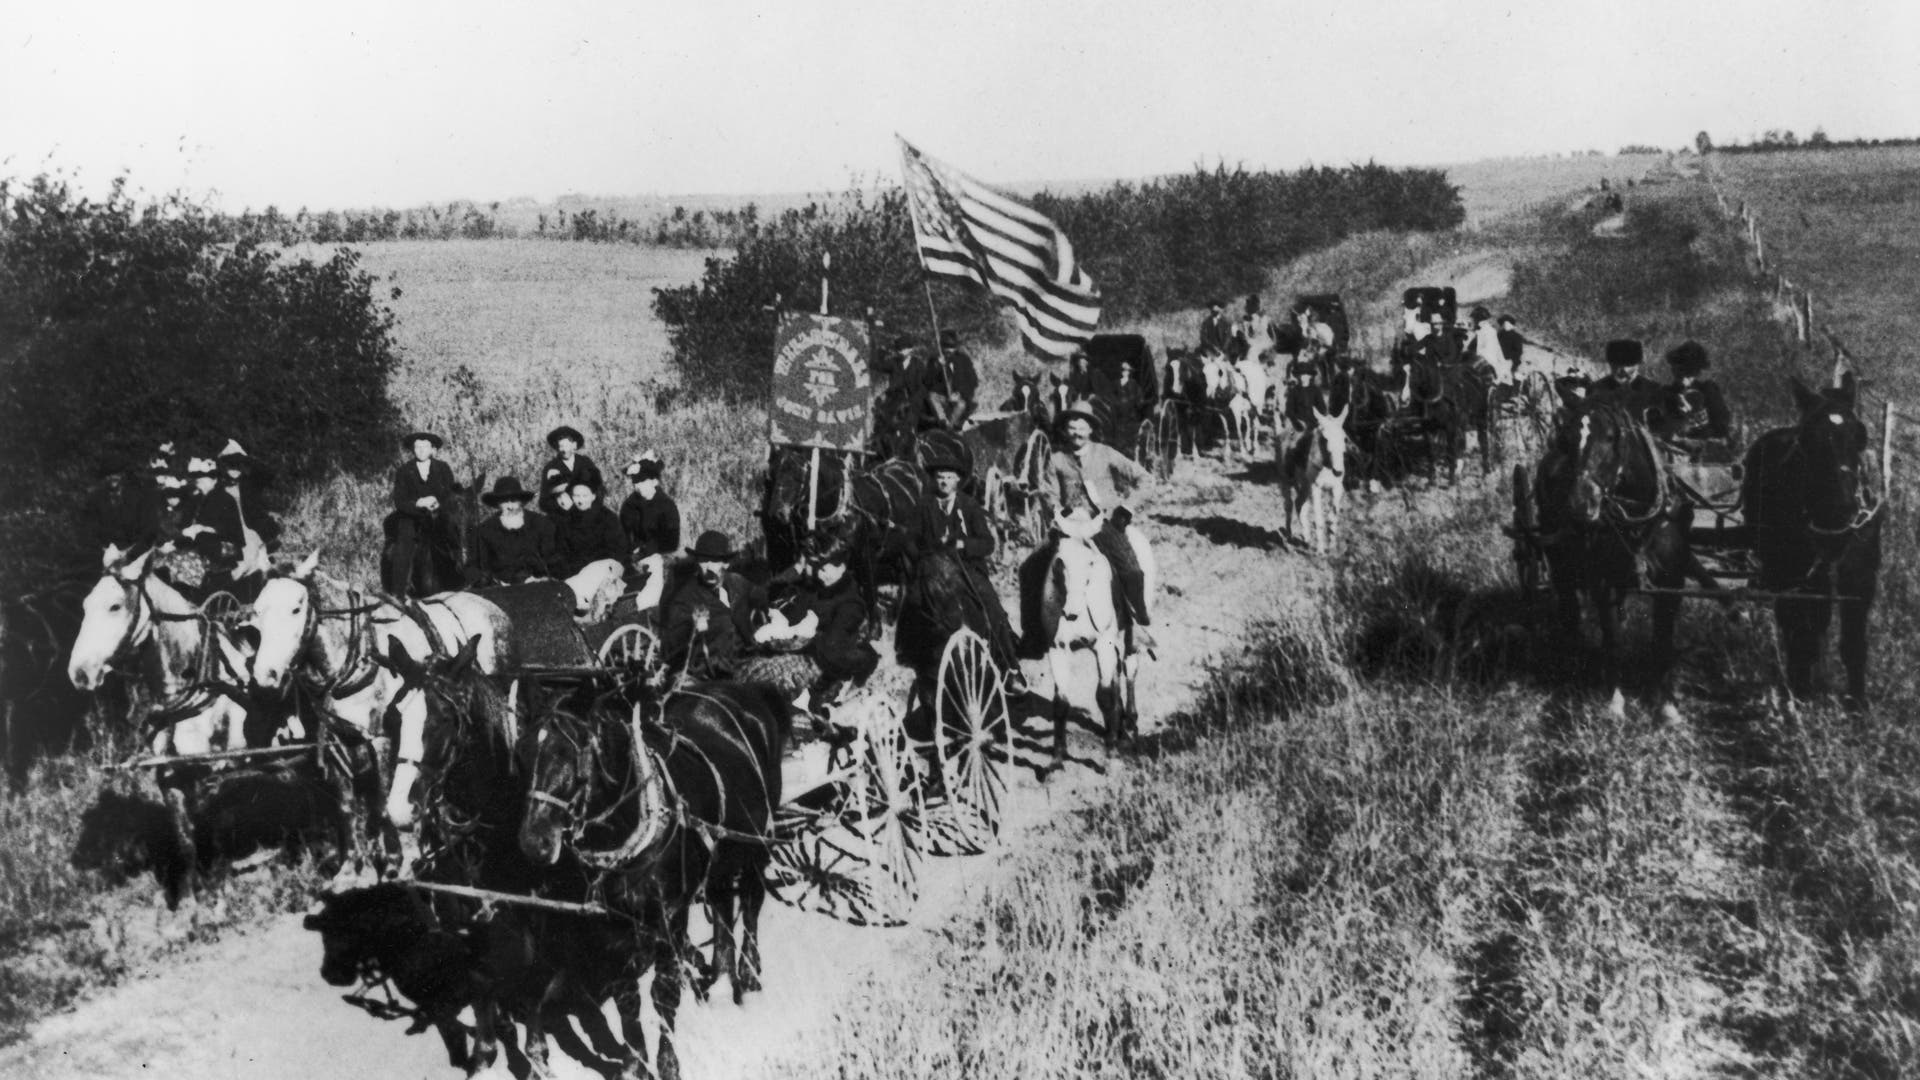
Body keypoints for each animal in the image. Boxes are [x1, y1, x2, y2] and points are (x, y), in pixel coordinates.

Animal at [239, 549, 510, 826]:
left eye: (295, 609)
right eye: (258, 611)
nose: (265, 674)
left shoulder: (383, 742)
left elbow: (383, 805)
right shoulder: (339, 745)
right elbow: (348, 809)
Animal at [518, 676, 787, 1068]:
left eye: (570, 751)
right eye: (521, 752)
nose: (533, 842)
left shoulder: (669, 918)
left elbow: (664, 992)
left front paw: (667, 1062)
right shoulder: (612, 929)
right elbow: (626, 998)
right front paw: (635, 1061)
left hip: (757, 841)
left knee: (751, 901)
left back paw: (749, 975)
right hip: (720, 855)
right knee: (722, 902)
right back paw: (722, 977)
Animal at [1274, 405, 1351, 553]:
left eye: (1344, 438)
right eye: (1325, 439)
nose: (1338, 471)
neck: (1326, 465)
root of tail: (1284, 431)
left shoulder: (1336, 488)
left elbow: (1332, 519)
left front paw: (1332, 549)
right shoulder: (1316, 488)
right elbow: (1319, 519)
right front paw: (1320, 551)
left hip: (1304, 485)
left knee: (1299, 504)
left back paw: (1307, 538)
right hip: (1286, 481)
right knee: (1289, 506)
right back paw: (1289, 537)